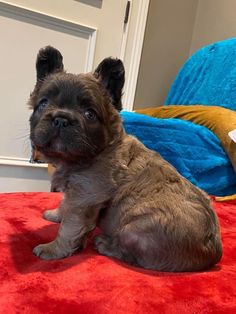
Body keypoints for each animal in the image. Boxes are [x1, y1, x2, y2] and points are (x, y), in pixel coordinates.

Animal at [28, 46, 222, 272]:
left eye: (89, 114)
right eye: (43, 104)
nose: (61, 119)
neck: (99, 149)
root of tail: (212, 254)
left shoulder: (84, 198)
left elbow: (69, 228)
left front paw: (54, 249)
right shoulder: (75, 194)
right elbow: (64, 204)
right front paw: (55, 215)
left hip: (134, 230)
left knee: (132, 255)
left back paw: (106, 244)